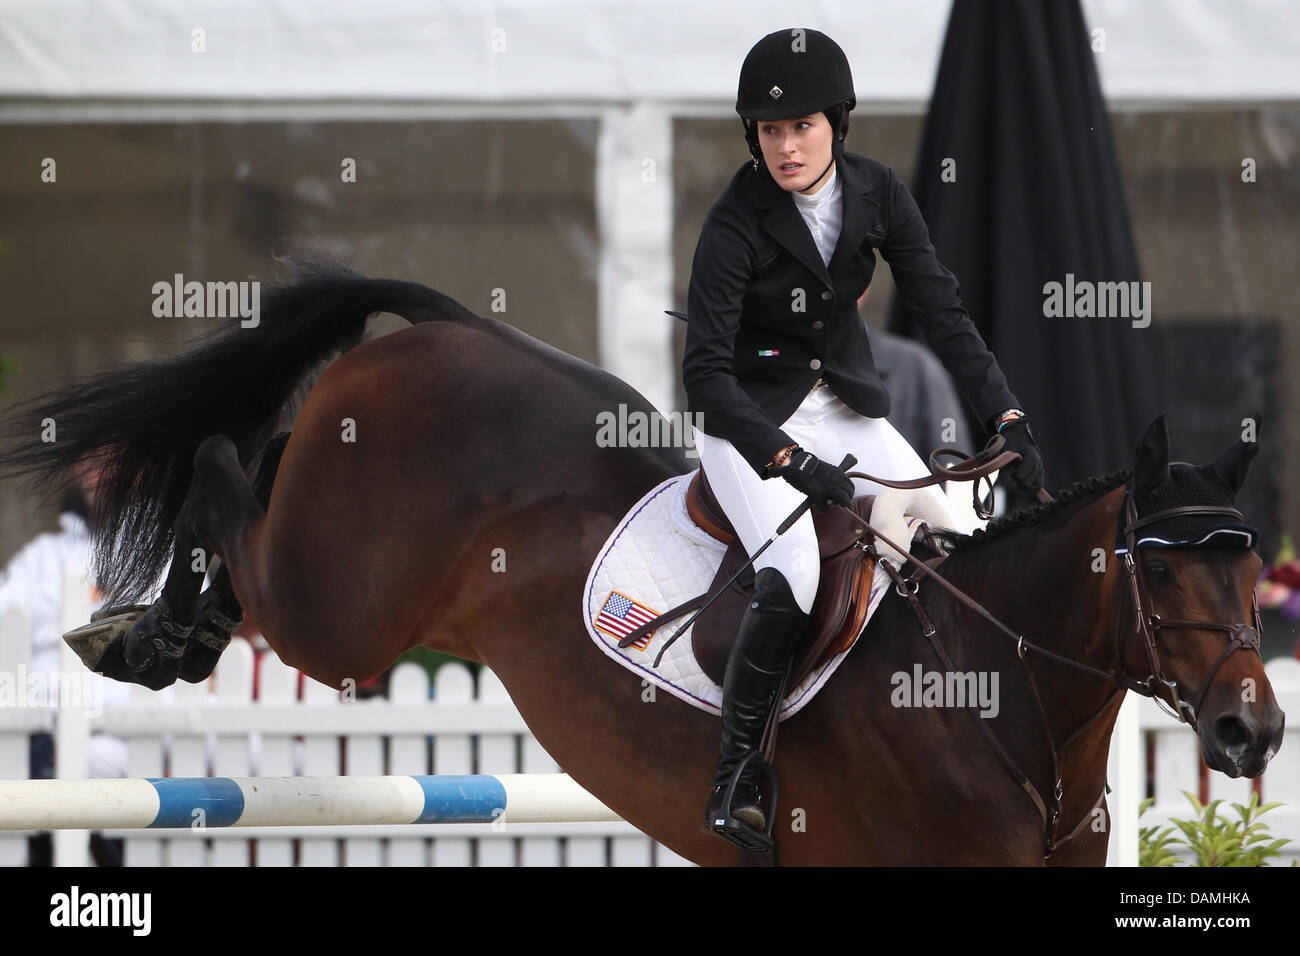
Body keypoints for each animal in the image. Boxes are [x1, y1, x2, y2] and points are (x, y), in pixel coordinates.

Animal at [0, 260, 1279, 868]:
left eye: (1248, 567)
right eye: (1161, 574)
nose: (1253, 731)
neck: (994, 696)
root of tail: (448, 330)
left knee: (252, 475)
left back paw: (161, 628)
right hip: (339, 608)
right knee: (229, 466)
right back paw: (147, 627)